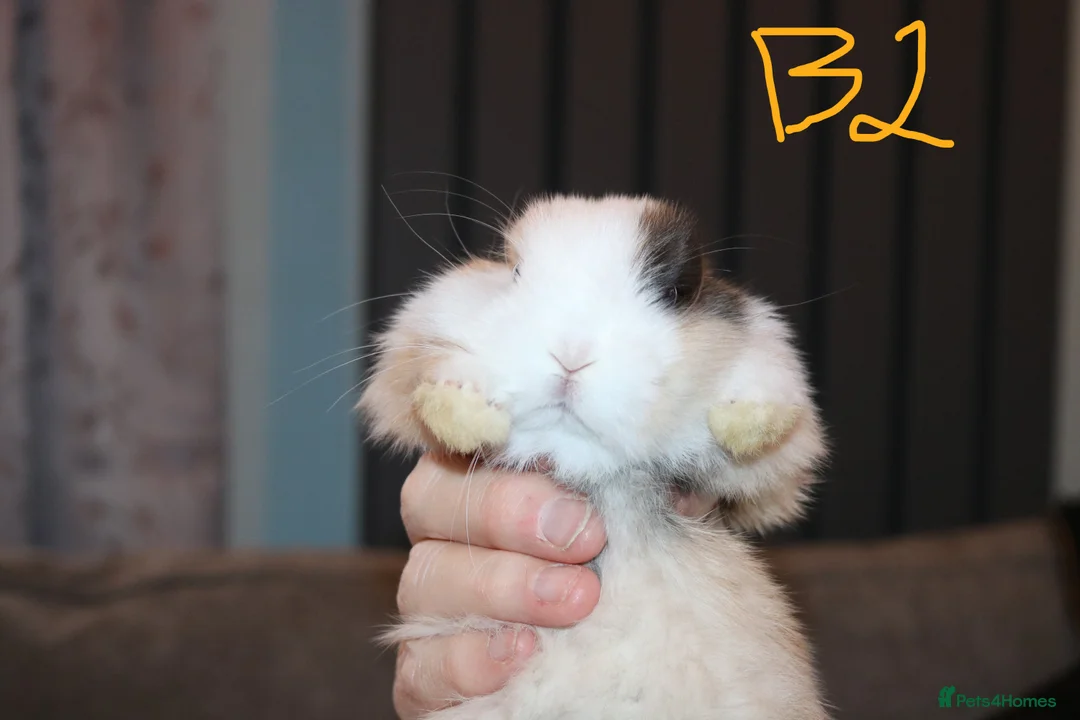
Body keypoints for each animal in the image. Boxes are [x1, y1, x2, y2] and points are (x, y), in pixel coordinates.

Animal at [358, 194, 830, 719]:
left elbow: (767, 380)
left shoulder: (781, 453)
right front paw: (459, 409)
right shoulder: (415, 340)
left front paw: (748, 420)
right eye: (515, 269)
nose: (571, 355)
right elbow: (424, 368)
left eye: (677, 289)